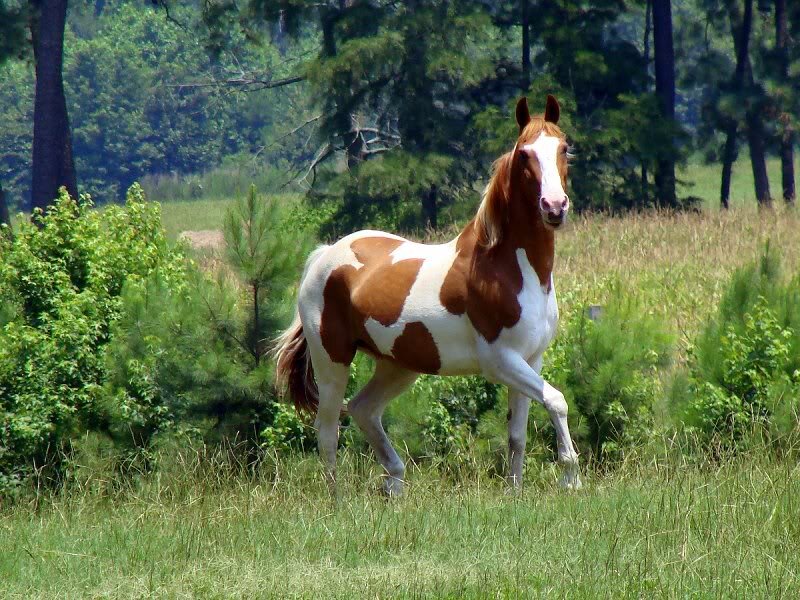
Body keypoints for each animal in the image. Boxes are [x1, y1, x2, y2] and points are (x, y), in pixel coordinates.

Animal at [275, 95, 581, 496]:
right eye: (524, 153)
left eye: (563, 148)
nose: (554, 207)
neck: (507, 269)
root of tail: (323, 256)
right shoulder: (500, 360)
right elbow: (557, 401)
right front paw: (571, 478)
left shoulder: (532, 358)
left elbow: (518, 434)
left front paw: (515, 493)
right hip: (332, 362)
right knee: (327, 430)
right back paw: (338, 500)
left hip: (398, 366)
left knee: (362, 409)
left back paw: (395, 484)